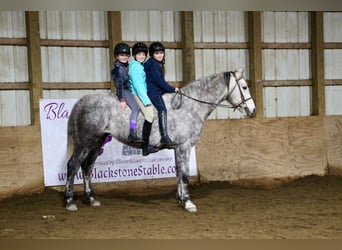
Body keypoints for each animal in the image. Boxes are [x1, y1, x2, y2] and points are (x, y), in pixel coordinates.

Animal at [65, 69, 255, 213]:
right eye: (244, 87)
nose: (252, 110)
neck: (190, 106)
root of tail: (82, 101)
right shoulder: (184, 147)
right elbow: (184, 175)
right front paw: (188, 203)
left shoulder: (178, 148)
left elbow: (178, 173)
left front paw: (180, 199)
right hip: (85, 142)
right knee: (73, 166)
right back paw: (70, 202)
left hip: (97, 142)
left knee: (87, 167)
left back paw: (91, 199)